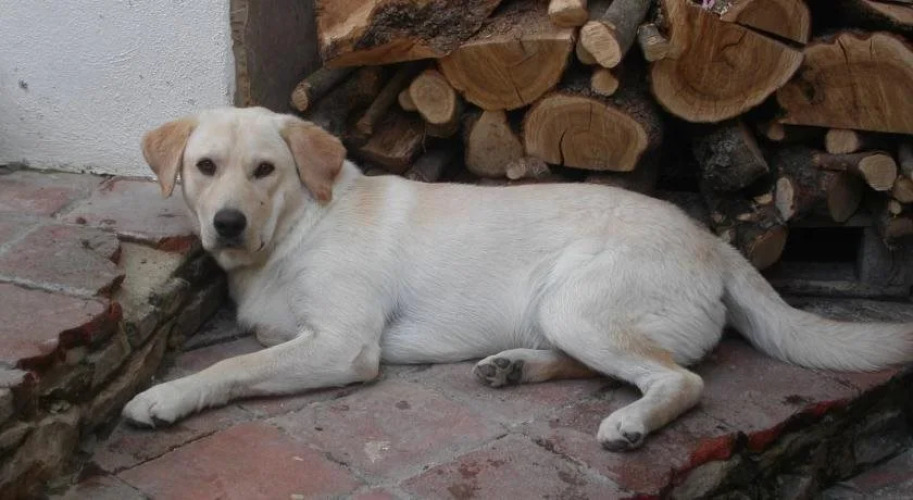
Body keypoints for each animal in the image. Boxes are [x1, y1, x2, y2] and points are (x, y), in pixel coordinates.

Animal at [123, 107, 913, 451]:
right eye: (205, 167)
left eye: (264, 169)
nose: (226, 223)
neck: (294, 229)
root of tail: (712, 242)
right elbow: (248, 350)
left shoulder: (343, 344)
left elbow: (232, 366)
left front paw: (165, 396)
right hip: (565, 312)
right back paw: (514, 367)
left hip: (575, 302)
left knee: (679, 379)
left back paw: (630, 423)